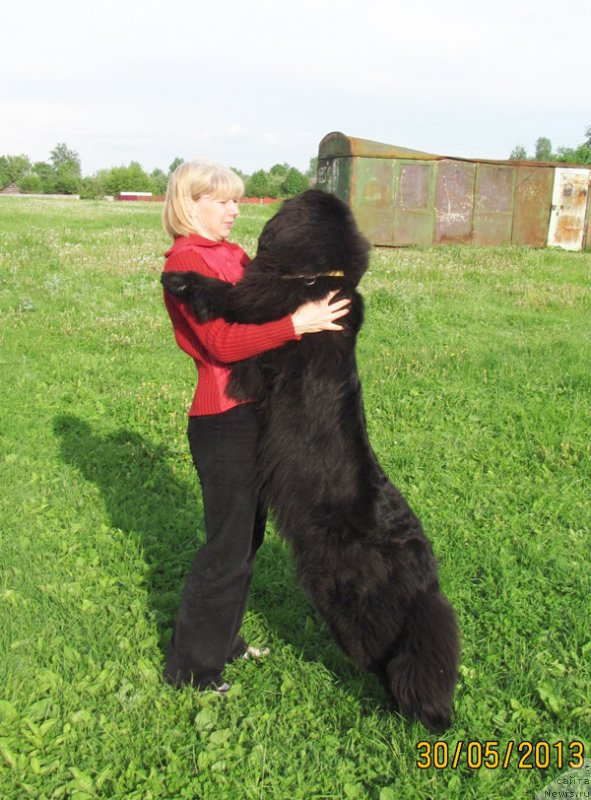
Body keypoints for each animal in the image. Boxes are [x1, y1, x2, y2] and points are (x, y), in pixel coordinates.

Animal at [162, 189, 462, 732]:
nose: (261, 202)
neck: (319, 277)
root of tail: (425, 574)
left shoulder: (261, 307)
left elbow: (225, 295)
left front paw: (179, 278)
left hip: (349, 603)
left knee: (390, 659)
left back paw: (409, 716)